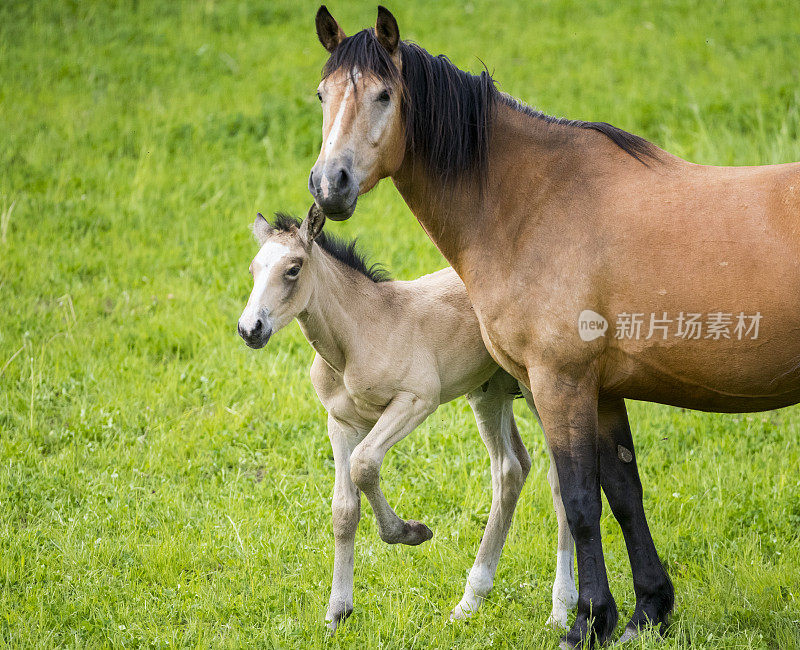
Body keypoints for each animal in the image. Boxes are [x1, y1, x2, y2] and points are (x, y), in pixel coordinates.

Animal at [308, 3, 800, 644]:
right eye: (323, 94)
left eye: (384, 95)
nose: (329, 185)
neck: (537, 203)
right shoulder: (603, 390)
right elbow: (623, 495)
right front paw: (647, 612)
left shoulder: (559, 383)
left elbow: (580, 502)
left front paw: (586, 621)